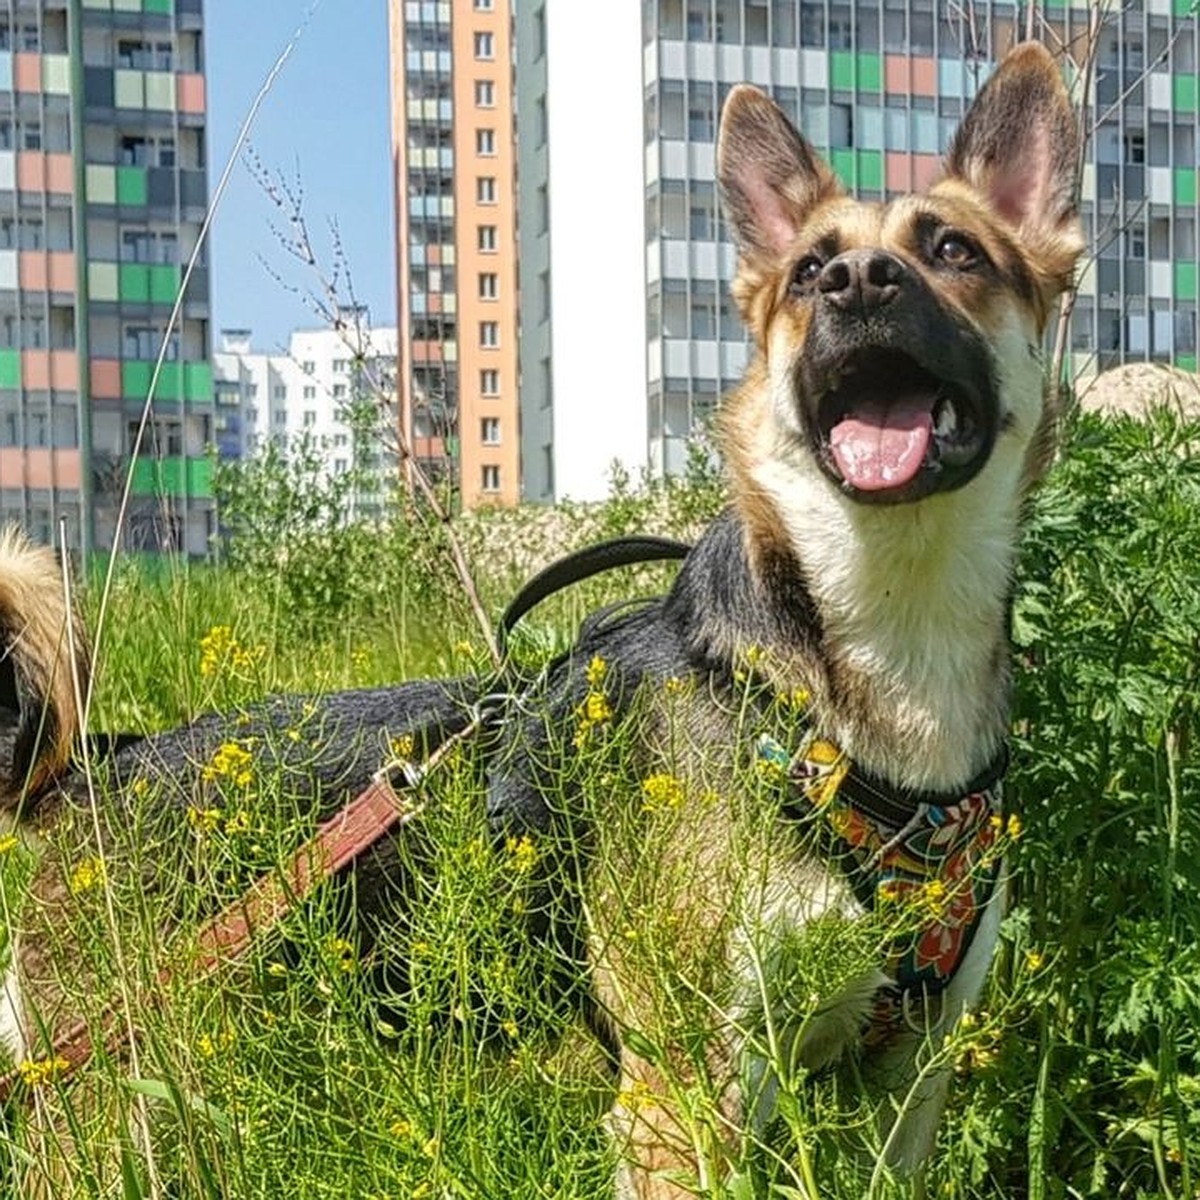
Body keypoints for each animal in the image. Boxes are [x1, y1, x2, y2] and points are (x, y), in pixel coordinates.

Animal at [0, 39, 1084, 1200]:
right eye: (806, 274)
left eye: (954, 250)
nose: (856, 283)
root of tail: (101, 766)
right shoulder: (684, 1097)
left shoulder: (907, 1089)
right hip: (103, 1118)